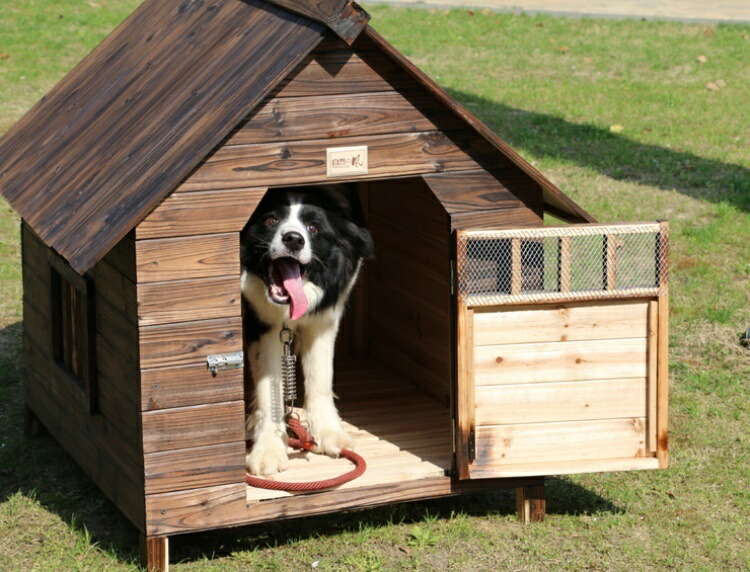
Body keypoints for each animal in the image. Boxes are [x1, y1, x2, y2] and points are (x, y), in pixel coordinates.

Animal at [242, 185, 374, 476]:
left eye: (313, 228)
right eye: (271, 220)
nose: (293, 239)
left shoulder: (325, 318)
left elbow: (321, 376)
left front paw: (329, 432)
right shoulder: (263, 327)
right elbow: (269, 390)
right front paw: (268, 450)